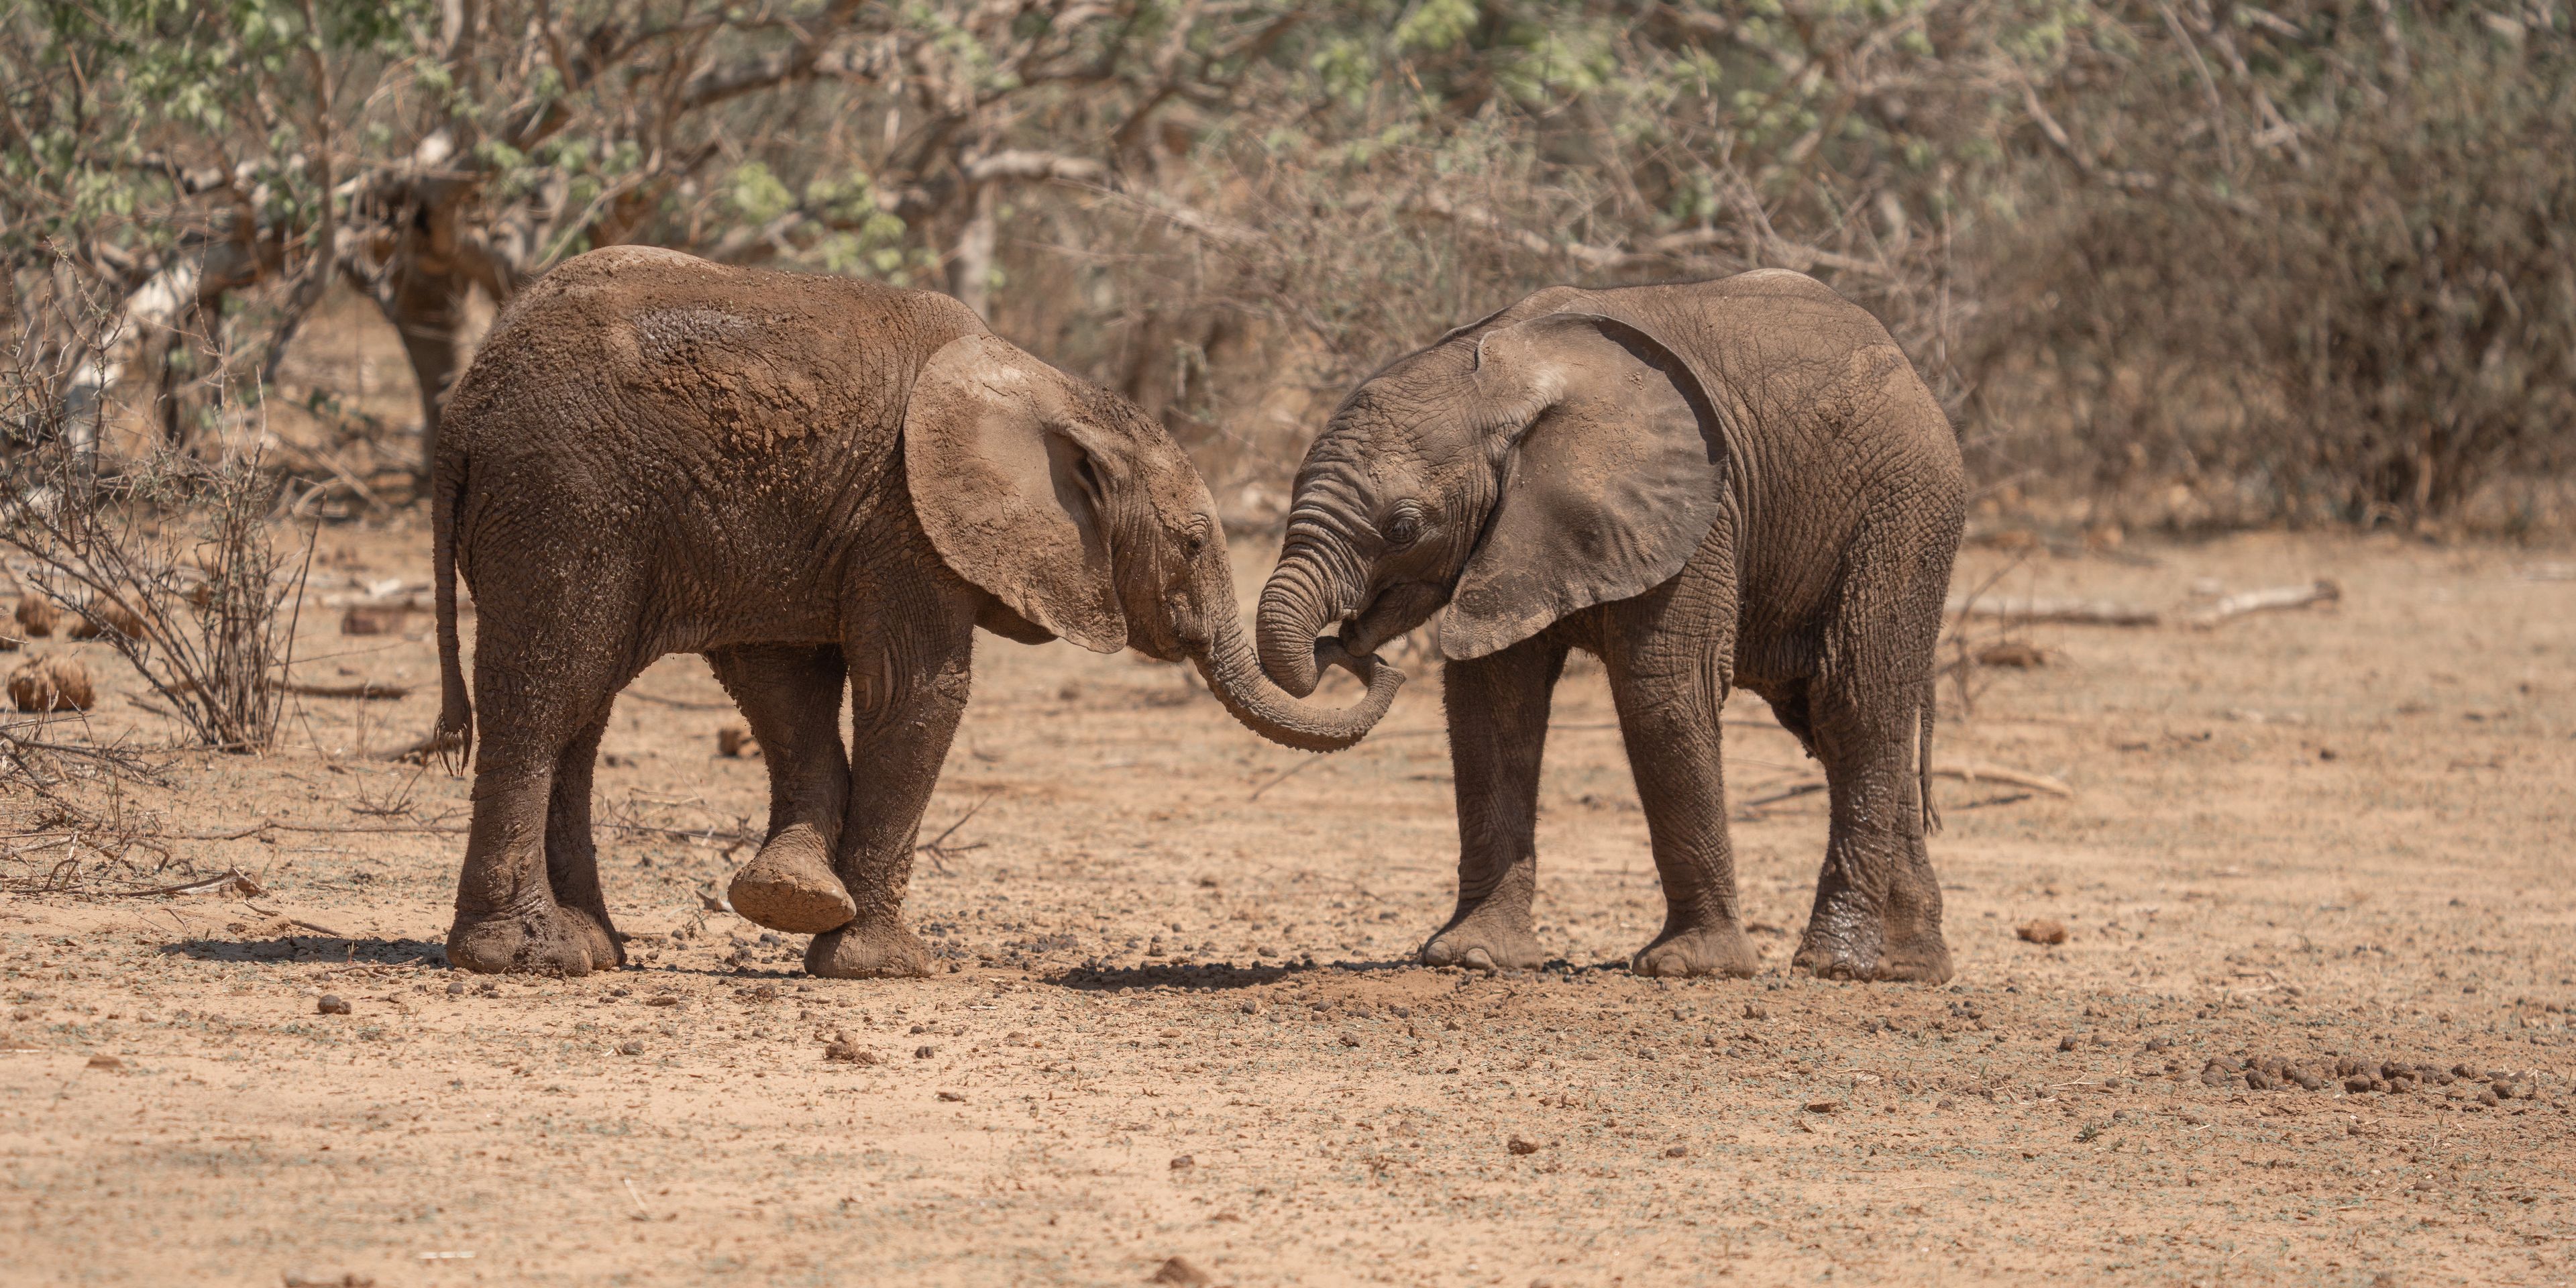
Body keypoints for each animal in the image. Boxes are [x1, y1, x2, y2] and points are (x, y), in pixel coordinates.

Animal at [429, 246, 1400, 978]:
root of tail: (462, 407)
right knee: (545, 694)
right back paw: (527, 956)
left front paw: (794, 897)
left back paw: (596, 948)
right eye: (1196, 543)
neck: (1049, 388)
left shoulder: (813, 514)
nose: (1363, 649)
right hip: (567, 498)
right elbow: (917, 691)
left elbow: (789, 688)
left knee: (581, 717)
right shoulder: (907, 516)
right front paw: (881, 967)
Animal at [1255, 270, 1964, 982]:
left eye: (1402, 528)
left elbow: (1665, 694)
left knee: (1854, 703)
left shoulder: (1697, 514)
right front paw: (1473, 957)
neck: (1499, 378)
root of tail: (1914, 375)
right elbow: (1492, 705)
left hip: (1903, 510)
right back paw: (1909, 968)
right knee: (1837, 714)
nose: (1349, 647)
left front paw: (1691, 967)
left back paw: (1833, 965)